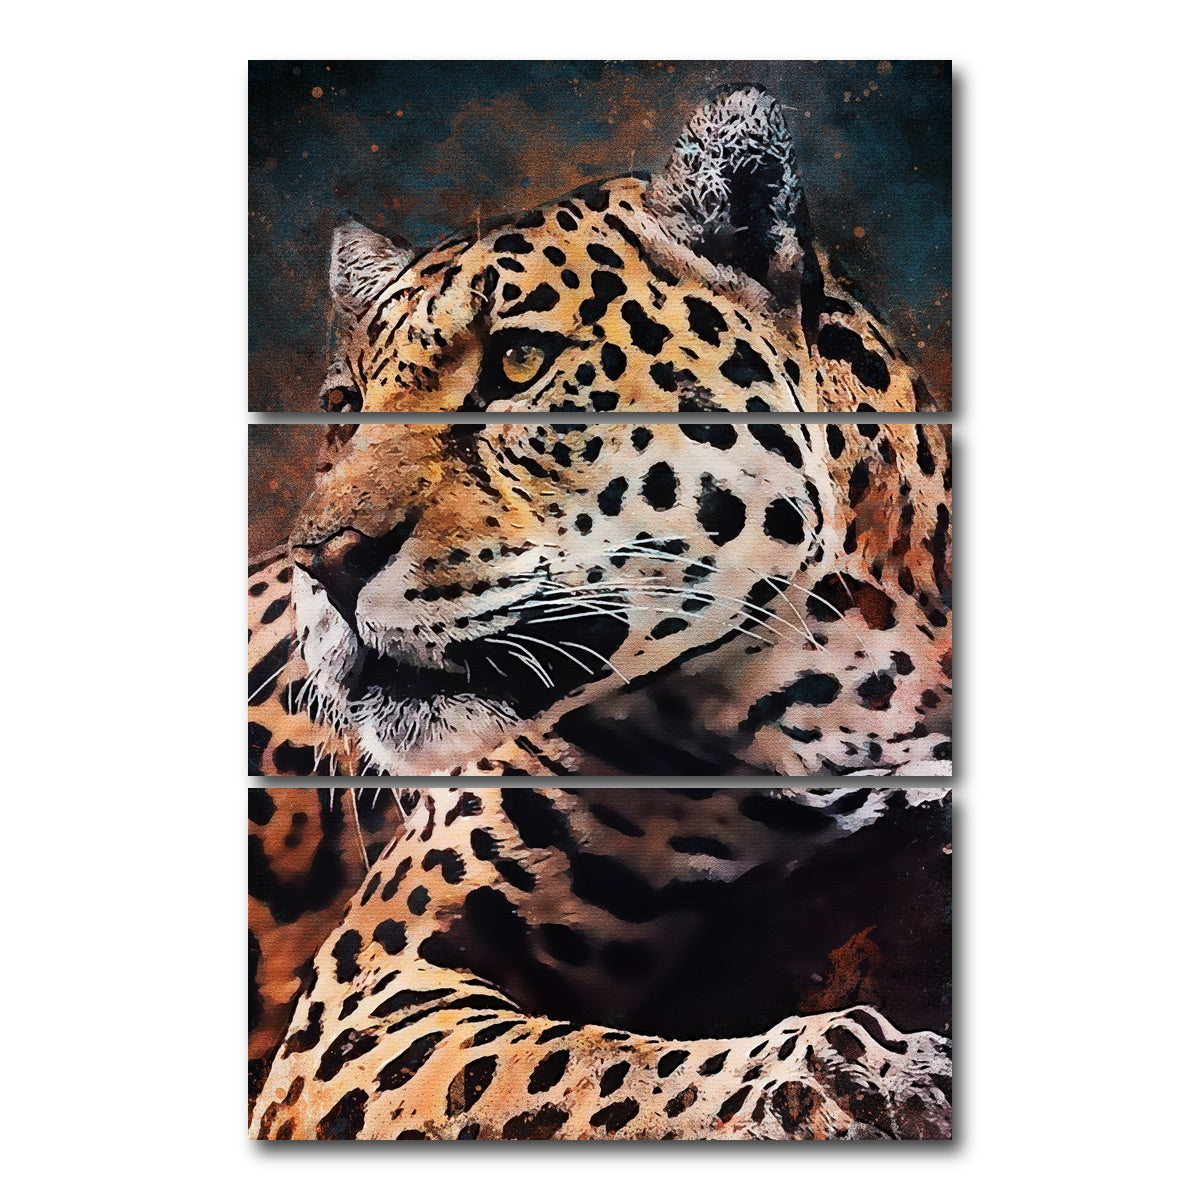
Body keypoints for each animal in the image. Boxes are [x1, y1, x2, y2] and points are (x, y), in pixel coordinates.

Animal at [248, 86, 953, 1138]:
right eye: (341, 409)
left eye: (517, 362)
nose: (323, 563)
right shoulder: (367, 990)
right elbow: (585, 1072)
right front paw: (843, 1081)